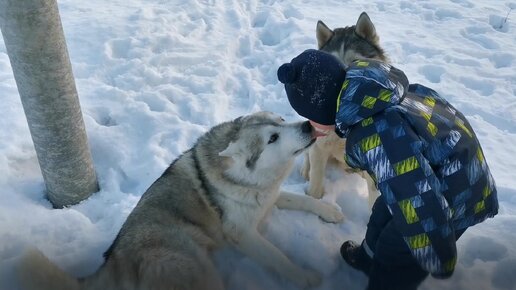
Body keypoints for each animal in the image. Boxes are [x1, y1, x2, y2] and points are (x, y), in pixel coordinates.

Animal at [20, 112, 344, 290]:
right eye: (273, 138)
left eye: (281, 120)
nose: (308, 125)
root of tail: (112, 262)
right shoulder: (242, 234)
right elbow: (279, 258)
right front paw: (305, 277)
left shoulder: (269, 198)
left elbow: (303, 201)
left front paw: (330, 211)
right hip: (198, 270)